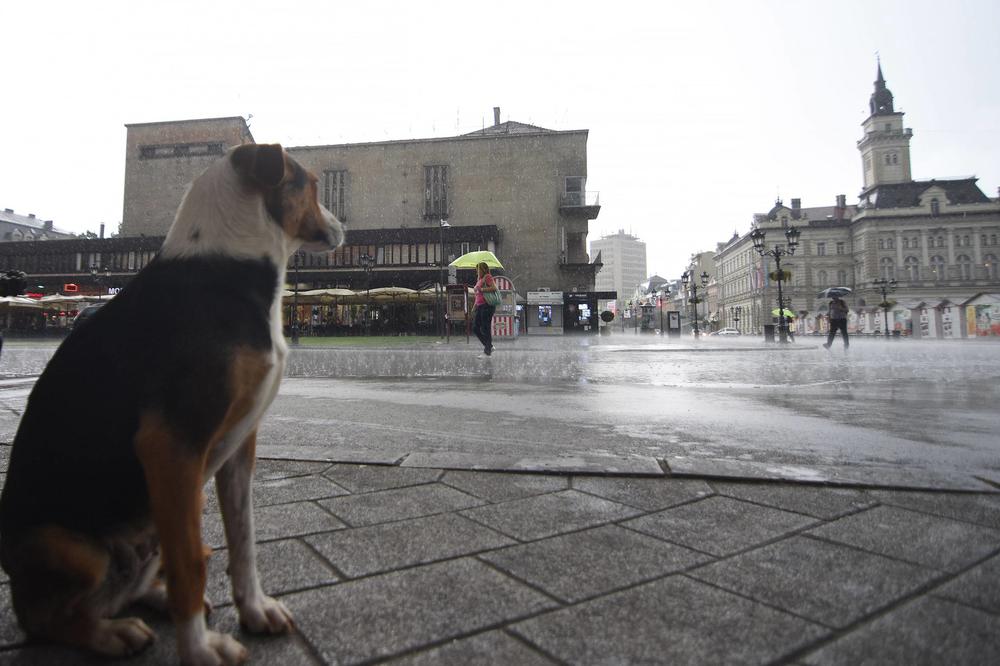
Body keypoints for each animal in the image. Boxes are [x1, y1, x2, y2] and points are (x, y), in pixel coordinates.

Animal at [0, 143, 344, 660]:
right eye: (314, 186)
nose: (342, 227)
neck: (229, 264)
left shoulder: (239, 445)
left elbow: (243, 542)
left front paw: (254, 610)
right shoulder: (172, 446)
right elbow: (190, 564)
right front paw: (200, 651)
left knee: (129, 586)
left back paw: (152, 601)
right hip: (74, 549)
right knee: (44, 619)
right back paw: (113, 632)